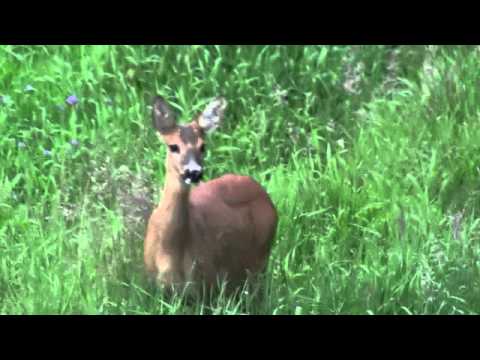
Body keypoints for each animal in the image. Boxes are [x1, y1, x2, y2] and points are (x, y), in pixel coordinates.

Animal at [143, 95, 278, 298]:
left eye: (202, 146)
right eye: (173, 146)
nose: (194, 172)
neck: (170, 250)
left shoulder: (206, 282)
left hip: (260, 257)